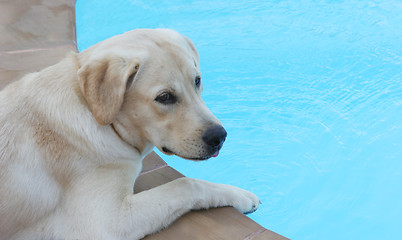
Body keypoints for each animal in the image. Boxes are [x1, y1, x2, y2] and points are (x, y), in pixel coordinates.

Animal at [0, 29, 260, 240]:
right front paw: (240, 196)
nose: (220, 137)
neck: (96, 115)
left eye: (197, 81)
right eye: (164, 97)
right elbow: (187, 184)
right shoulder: (106, 222)